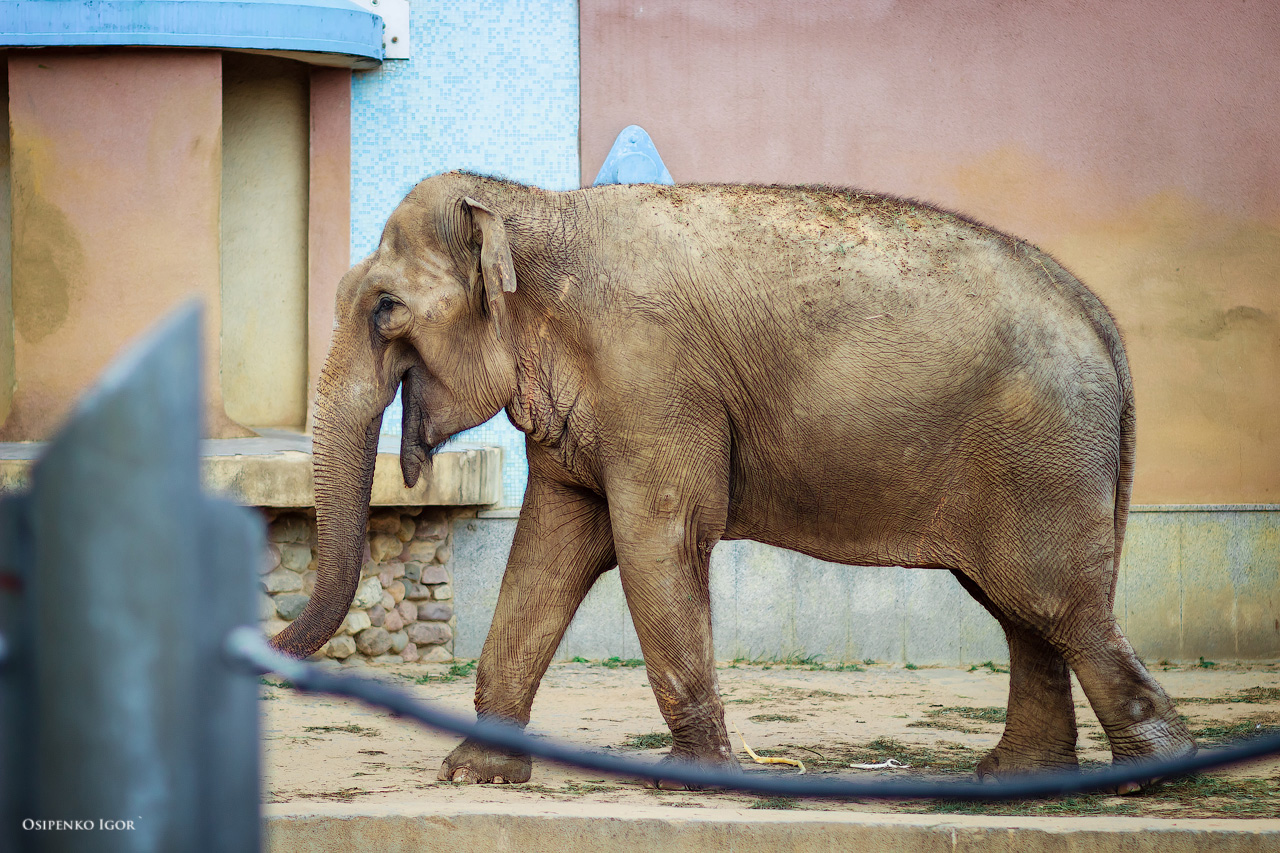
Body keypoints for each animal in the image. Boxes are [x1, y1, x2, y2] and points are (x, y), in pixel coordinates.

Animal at [271, 170, 1196, 790]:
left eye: (386, 309)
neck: (537, 204)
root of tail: (1101, 317)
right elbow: (550, 550)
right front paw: (475, 774)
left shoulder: (653, 376)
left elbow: (658, 538)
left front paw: (690, 776)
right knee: (1020, 608)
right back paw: (1020, 777)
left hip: (1040, 451)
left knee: (1052, 600)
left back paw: (1151, 772)